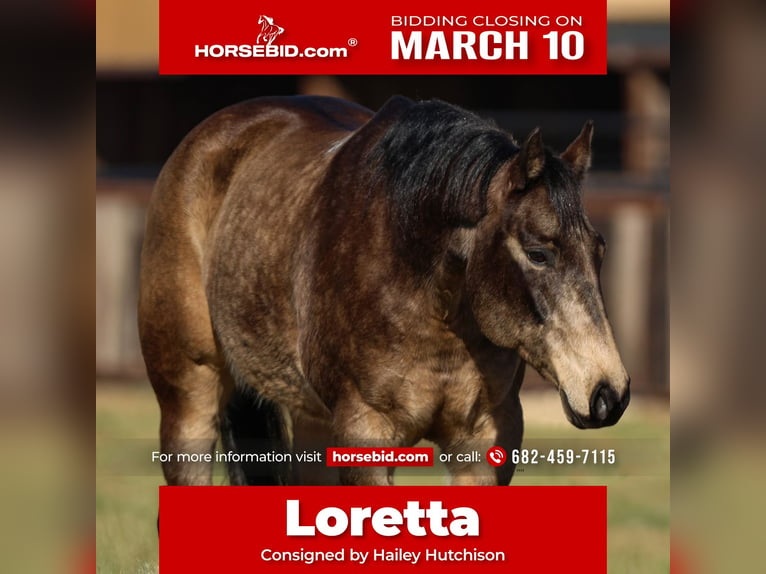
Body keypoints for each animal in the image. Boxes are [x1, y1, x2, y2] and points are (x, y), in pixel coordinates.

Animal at [138, 97, 632, 488]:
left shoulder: (485, 442)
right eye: (538, 254)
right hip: (189, 399)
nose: (608, 394)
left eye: (600, 248)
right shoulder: (365, 433)